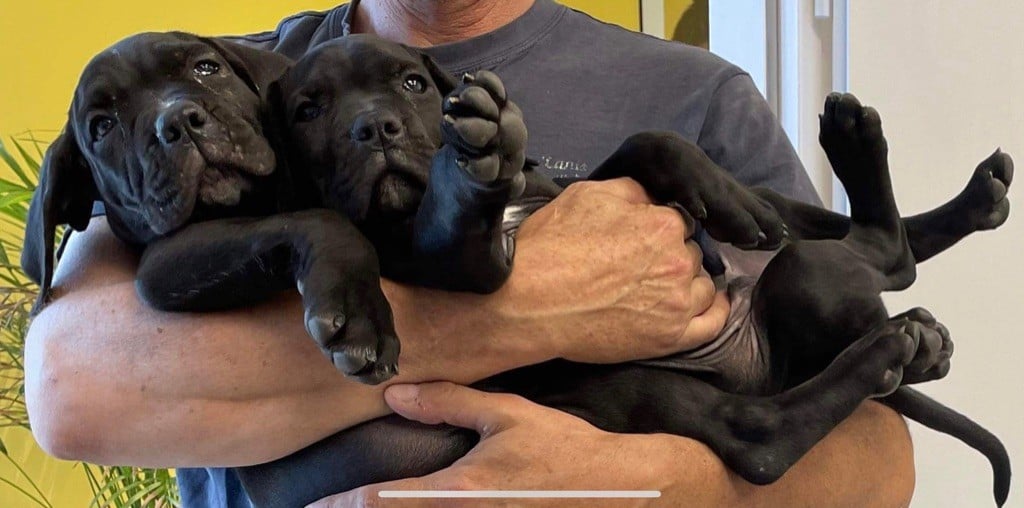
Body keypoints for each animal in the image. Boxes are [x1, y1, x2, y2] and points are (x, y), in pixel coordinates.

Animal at [20, 32, 399, 381]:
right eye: (102, 126)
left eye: (206, 68)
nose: (178, 120)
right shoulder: (163, 260)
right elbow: (317, 222)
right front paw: (359, 314)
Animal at [235, 36, 1011, 508]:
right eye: (307, 110)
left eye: (413, 82)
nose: (375, 128)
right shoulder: (454, 262)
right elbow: (456, 223)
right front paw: (471, 165)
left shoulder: (570, 186)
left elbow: (647, 143)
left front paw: (709, 189)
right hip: (646, 377)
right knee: (767, 421)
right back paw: (891, 339)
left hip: (785, 250)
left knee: (823, 226)